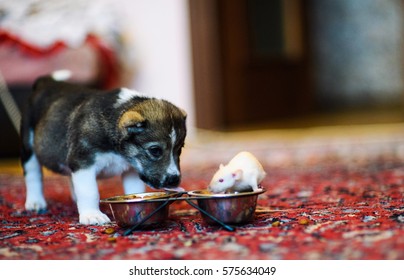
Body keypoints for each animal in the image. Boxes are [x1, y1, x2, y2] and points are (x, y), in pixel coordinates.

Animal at [19, 72, 187, 225]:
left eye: (179, 150)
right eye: (155, 150)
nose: (174, 180)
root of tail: (46, 82)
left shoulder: (131, 169)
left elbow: (135, 188)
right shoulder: (83, 162)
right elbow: (90, 191)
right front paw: (92, 215)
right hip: (29, 147)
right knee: (33, 175)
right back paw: (35, 201)